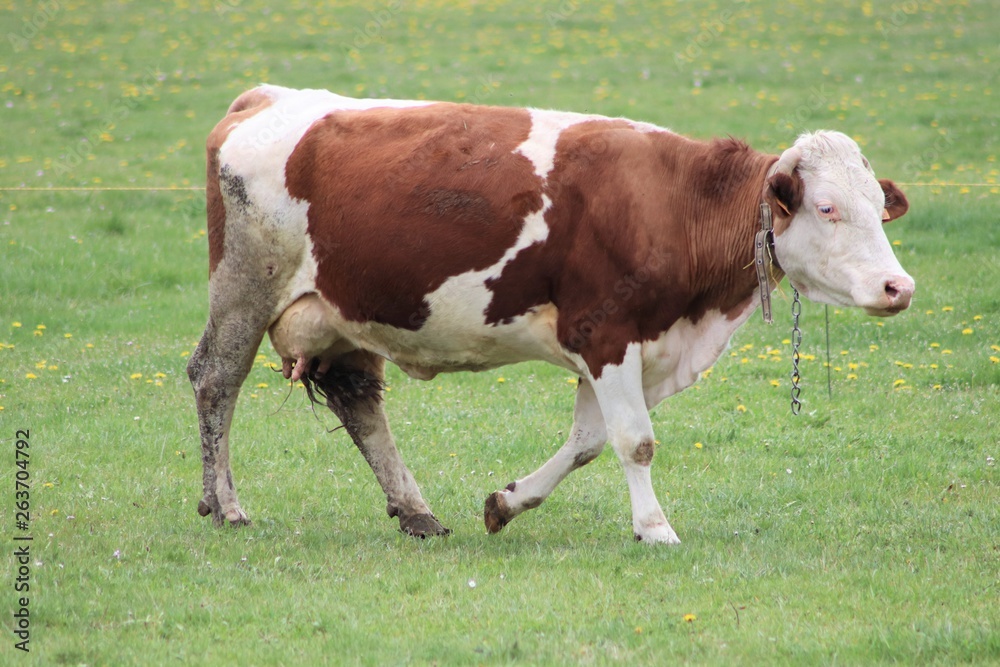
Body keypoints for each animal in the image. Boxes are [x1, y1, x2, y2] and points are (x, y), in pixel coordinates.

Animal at [188, 83, 916, 544]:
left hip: (341, 310)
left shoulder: (623, 347)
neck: (672, 203)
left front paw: (507, 503)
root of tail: (268, 98)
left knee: (358, 400)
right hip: (245, 287)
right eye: (827, 207)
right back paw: (226, 506)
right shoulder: (604, 332)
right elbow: (634, 439)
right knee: (216, 381)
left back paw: (417, 511)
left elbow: (589, 441)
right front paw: (656, 528)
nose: (898, 286)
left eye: (879, 209)